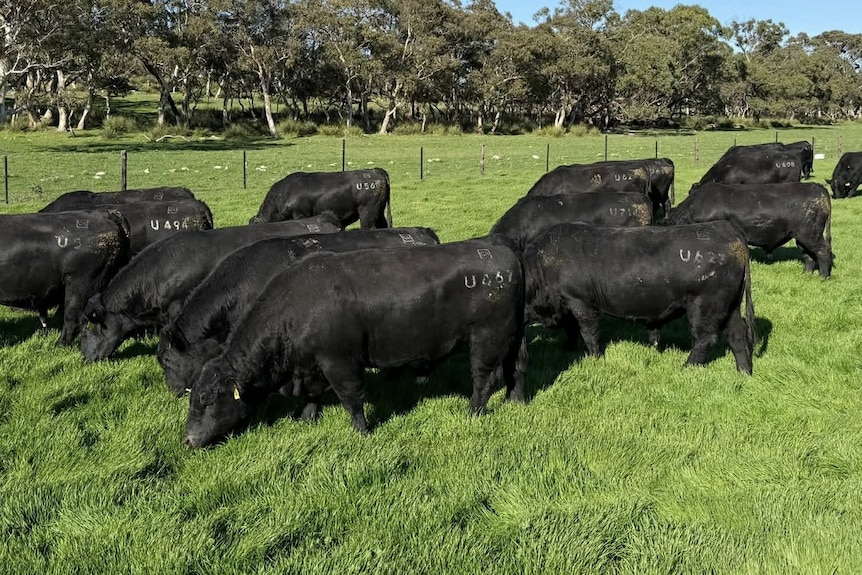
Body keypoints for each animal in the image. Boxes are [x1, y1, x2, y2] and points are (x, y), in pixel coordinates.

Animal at [183, 235, 527, 447]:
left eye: (208, 400)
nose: (187, 440)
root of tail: (494, 246)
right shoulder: (312, 365)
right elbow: (313, 394)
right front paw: (306, 419)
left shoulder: (339, 360)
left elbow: (351, 397)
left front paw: (361, 432)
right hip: (512, 334)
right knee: (515, 367)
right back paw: (516, 400)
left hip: (487, 335)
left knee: (484, 377)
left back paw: (473, 412)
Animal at [522, 221, 755, 373]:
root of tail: (728, 229)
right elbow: (571, 330)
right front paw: (568, 349)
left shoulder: (581, 302)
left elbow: (589, 333)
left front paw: (594, 357)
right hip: (729, 307)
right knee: (737, 334)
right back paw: (744, 371)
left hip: (705, 306)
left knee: (704, 338)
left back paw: (687, 367)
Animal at [665, 182, 832, 278]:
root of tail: (818, 188)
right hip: (801, 236)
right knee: (808, 255)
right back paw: (806, 275)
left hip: (810, 234)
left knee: (823, 251)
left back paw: (823, 276)